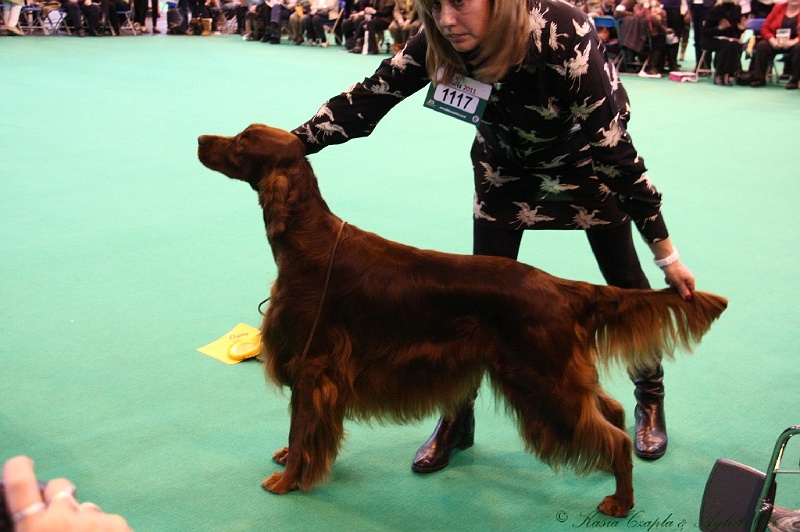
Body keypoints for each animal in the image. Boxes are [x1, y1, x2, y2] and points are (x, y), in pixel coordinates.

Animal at [197, 123, 728, 516]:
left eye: (242, 142)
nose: (201, 139)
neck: (309, 241)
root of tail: (560, 286)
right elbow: (300, 427)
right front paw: (292, 461)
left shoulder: (311, 364)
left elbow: (299, 424)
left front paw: (286, 479)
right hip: (556, 370)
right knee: (612, 410)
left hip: (541, 378)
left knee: (614, 436)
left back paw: (620, 501)